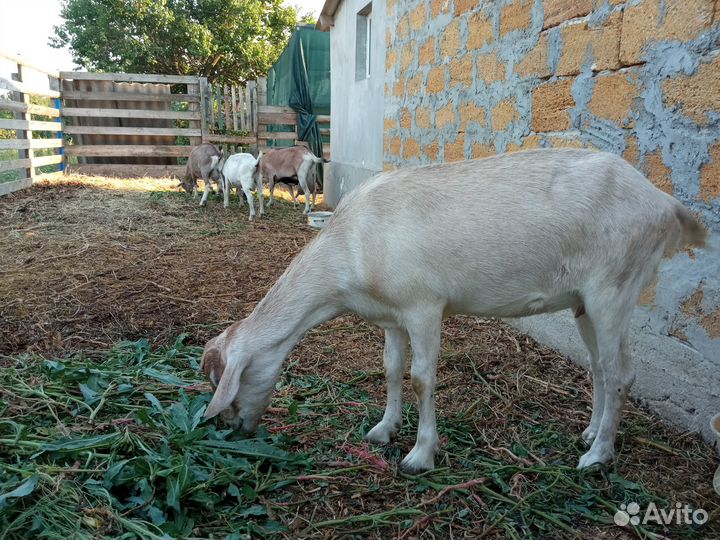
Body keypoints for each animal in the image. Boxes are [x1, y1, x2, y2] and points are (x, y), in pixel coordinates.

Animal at [202, 149, 706, 473]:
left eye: (226, 379)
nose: (235, 427)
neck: (352, 244)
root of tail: (666, 204)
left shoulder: (425, 306)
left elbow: (422, 377)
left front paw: (420, 456)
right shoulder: (391, 315)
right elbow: (391, 369)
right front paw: (383, 430)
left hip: (614, 289)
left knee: (621, 373)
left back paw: (597, 458)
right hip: (585, 301)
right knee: (600, 367)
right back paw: (588, 434)